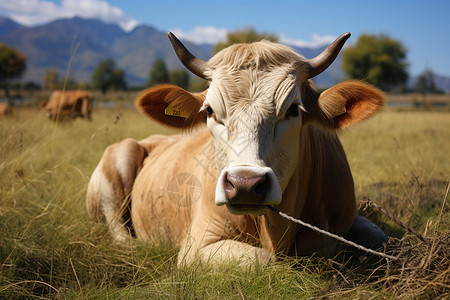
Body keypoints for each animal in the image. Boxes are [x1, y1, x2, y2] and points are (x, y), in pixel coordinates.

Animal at [87, 32, 386, 268]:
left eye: (293, 110)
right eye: (209, 111)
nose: (245, 184)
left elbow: (379, 238)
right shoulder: (196, 247)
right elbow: (263, 260)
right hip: (117, 165)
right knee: (119, 232)